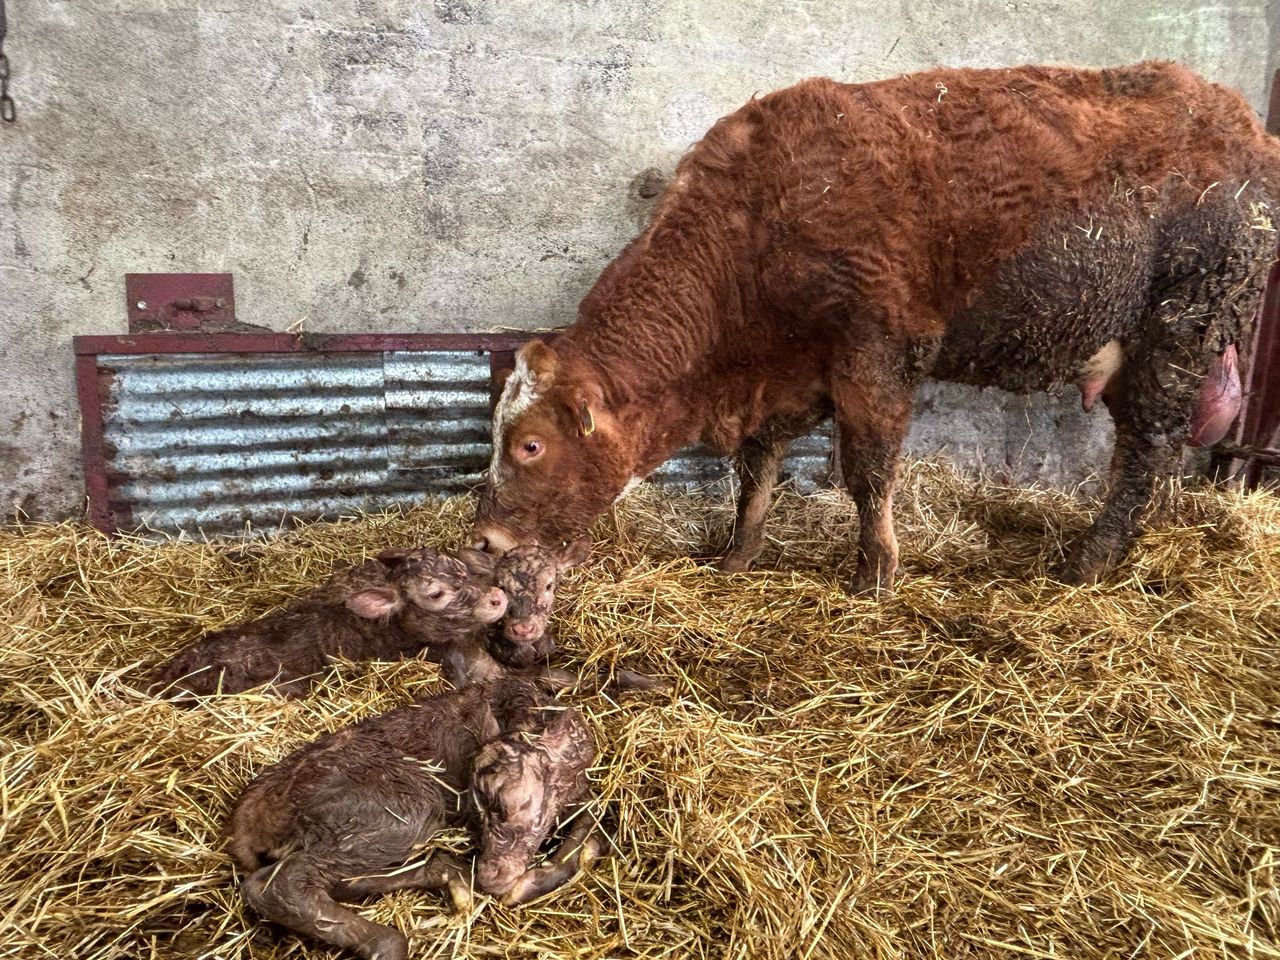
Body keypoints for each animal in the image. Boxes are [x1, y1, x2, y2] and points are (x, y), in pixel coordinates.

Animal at [473, 61, 1280, 592]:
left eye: (530, 444)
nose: (486, 538)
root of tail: (1241, 122)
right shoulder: (787, 376)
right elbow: (757, 468)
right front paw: (739, 553)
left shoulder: (876, 354)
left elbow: (869, 471)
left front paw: (875, 571)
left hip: (1177, 330)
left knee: (1146, 450)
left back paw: (1089, 560)